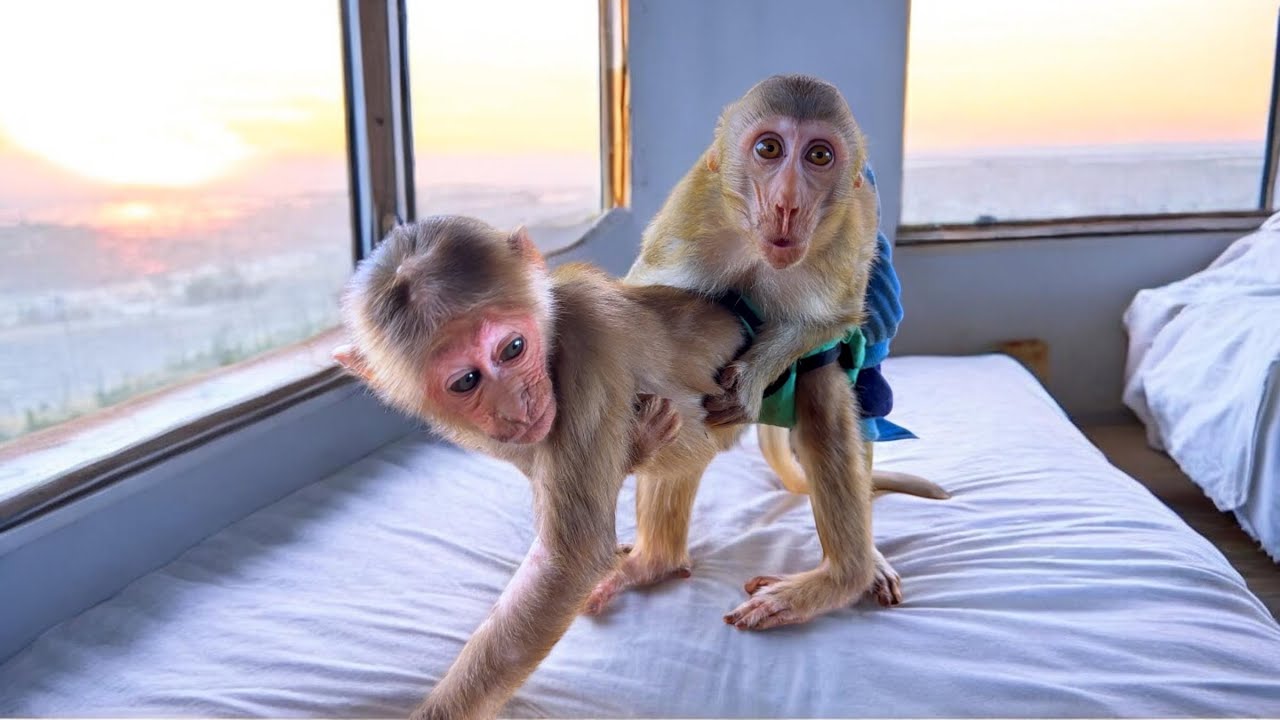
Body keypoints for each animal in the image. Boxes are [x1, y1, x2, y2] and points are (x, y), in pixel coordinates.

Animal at [335, 215, 943, 719]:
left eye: (512, 349)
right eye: (465, 380)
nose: (518, 404)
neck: (550, 342)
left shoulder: (588, 354)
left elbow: (569, 561)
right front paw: (637, 455)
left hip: (817, 353)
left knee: (820, 408)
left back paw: (848, 574)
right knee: (681, 458)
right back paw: (655, 562)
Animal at [619, 73, 926, 629]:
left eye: (819, 155)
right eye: (769, 149)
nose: (787, 204)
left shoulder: (846, 242)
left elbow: (828, 321)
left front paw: (751, 378)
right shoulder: (689, 226)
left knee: (829, 386)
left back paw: (845, 575)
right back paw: (654, 562)